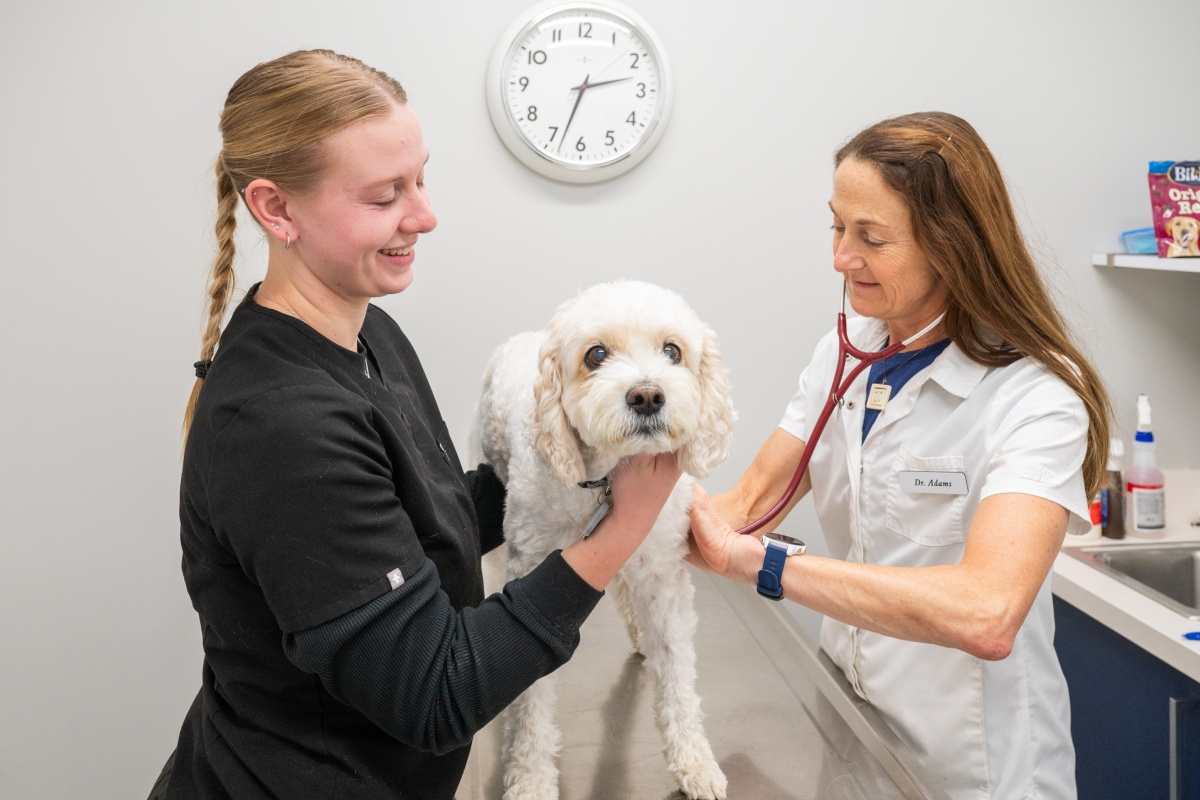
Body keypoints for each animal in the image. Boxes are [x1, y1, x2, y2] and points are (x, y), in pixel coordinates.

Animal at [472, 280, 734, 800]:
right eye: (596, 355)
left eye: (672, 351)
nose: (648, 396)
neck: (609, 480)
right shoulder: (532, 571)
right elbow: (530, 703)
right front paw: (530, 778)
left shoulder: (661, 573)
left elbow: (676, 671)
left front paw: (693, 760)